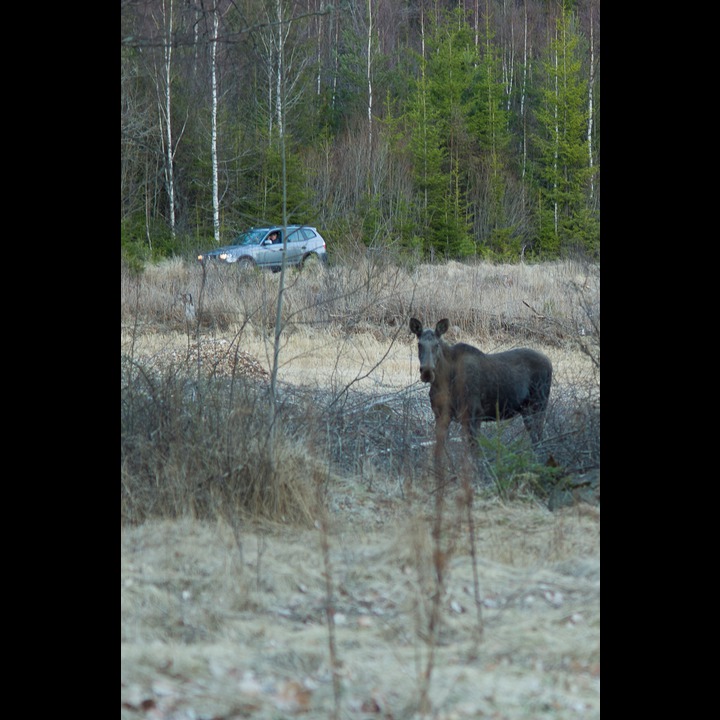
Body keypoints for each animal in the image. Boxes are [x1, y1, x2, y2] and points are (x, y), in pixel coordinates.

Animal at [410, 318, 552, 464]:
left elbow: (474, 454)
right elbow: (439, 453)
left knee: (540, 437)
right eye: (419, 344)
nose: (427, 372)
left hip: (539, 404)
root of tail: (549, 361)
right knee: (535, 438)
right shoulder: (440, 415)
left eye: (436, 344)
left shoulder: (474, 414)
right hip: (526, 409)